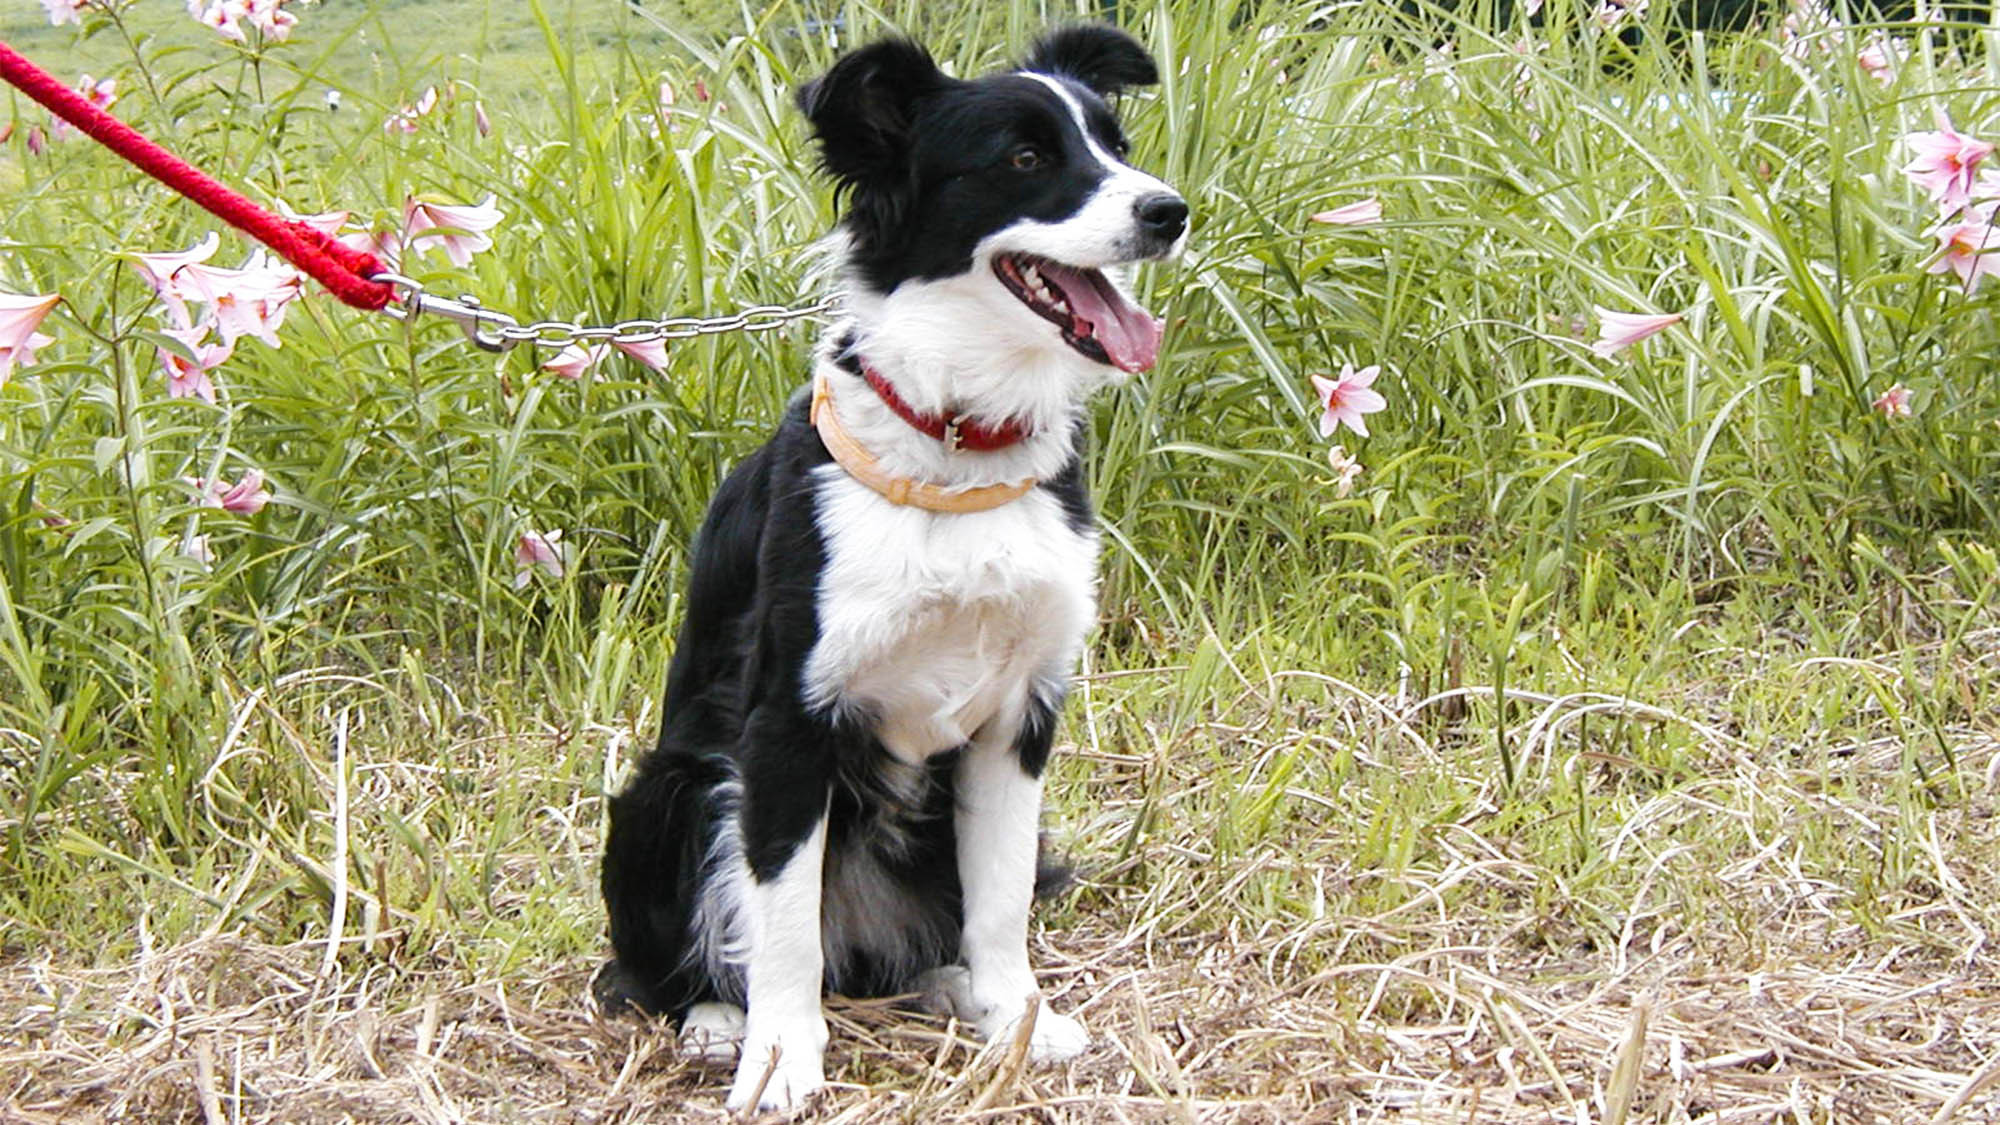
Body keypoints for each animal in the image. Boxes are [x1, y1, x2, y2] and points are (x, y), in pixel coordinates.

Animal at [592, 26, 1184, 1112]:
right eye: (1024, 158)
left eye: (1115, 146)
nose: (1169, 210)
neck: (956, 445)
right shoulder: (786, 727)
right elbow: (781, 926)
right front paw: (781, 1056)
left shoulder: (1019, 718)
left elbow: (998, 903)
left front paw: (1011, 1015)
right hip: (675, 787)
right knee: (669, 961)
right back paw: (714, 1019)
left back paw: (947, 984)